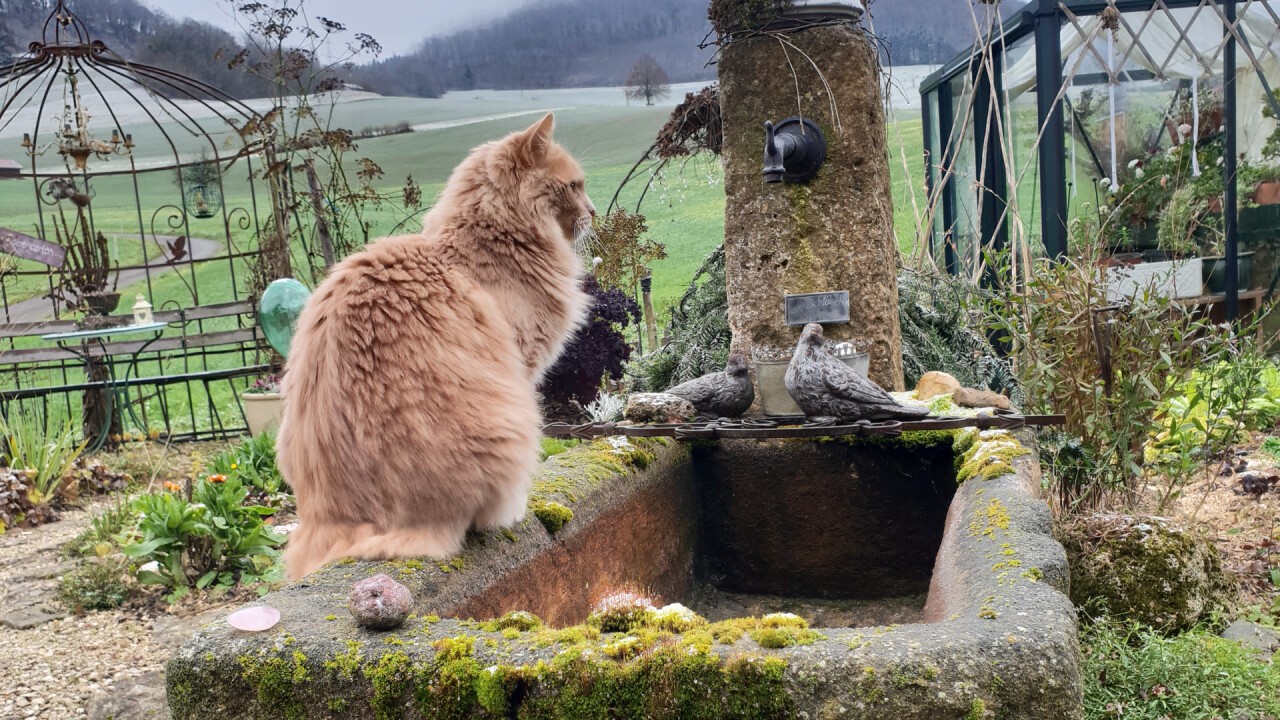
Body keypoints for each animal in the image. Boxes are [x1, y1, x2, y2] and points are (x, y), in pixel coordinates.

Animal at [277, 113, 591, 584]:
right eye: (575, 186)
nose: (594, 212)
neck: (490, 244)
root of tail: (341, 517)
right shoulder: (523, 364)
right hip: (513, 422)